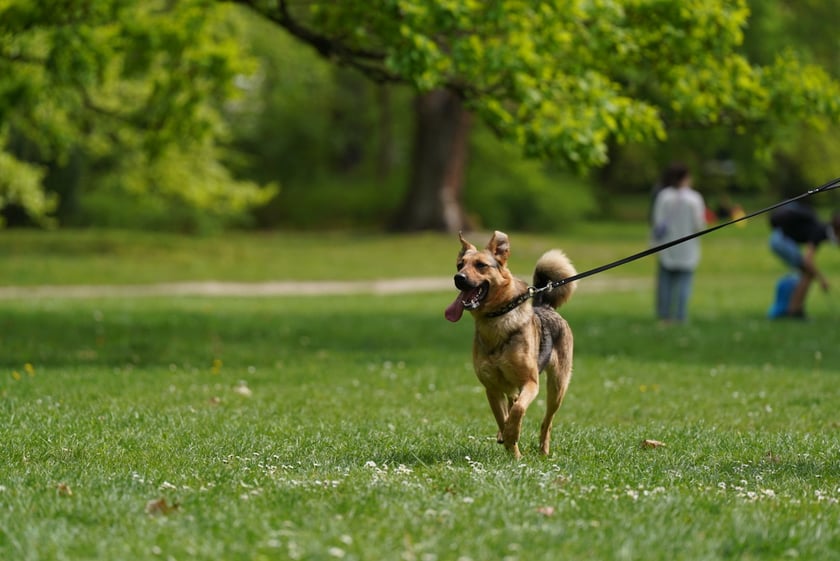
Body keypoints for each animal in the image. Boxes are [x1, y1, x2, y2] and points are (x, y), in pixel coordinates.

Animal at [442, 230, 576, 458]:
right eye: (460, 265)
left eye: (481, 265)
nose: (458, 278)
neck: (495, 318)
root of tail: (545, 305)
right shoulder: (492, 388)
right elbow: (502, 417)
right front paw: (511, 447)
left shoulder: (530, 382)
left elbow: (518, 411)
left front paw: (513, 442)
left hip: (557, 386)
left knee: (546, 421)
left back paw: (543, 450)